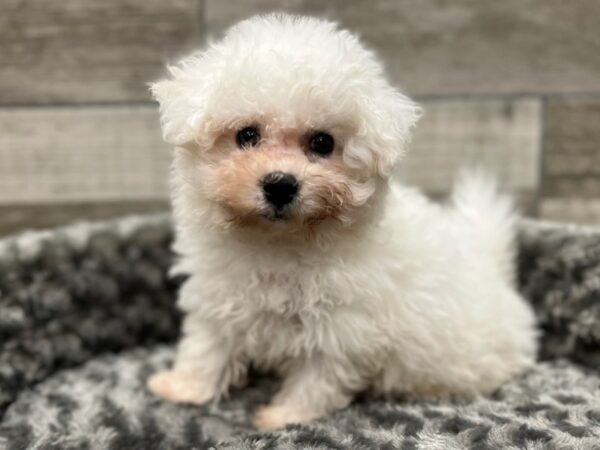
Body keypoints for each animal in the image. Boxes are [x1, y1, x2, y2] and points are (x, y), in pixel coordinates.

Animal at [148, 13, 536, 428]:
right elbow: (207, 347)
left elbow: (318, 376)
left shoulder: (341, 327)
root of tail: (493, 271)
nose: (280, 185)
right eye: (247, 134)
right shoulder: (217, 295)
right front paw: (183, 389)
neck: (278, 244)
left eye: (322, 143)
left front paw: (285, 418)